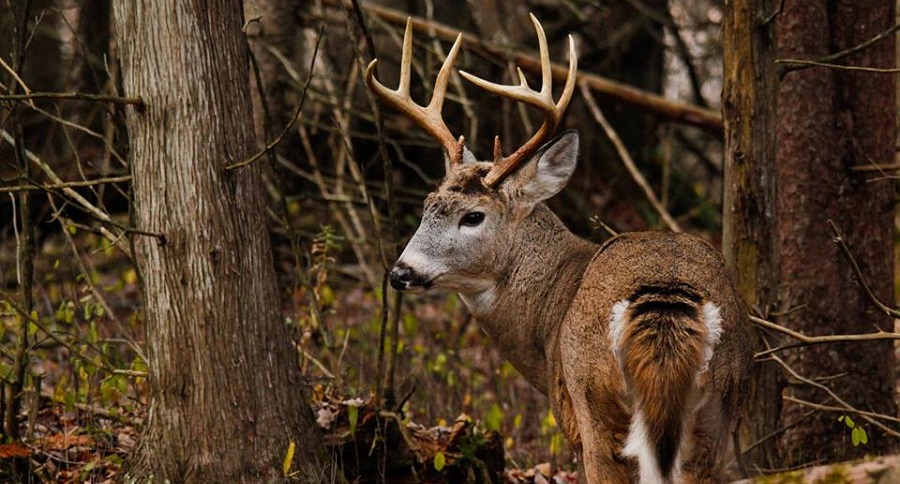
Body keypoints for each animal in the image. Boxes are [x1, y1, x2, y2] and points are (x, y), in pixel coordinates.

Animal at [365, 15, 752, 484]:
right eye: (427, 205)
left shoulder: (570, 416)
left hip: (595, 397)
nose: (401, 272)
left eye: (473, 216)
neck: (547, 312)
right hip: (720, 402)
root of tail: (666, 300)